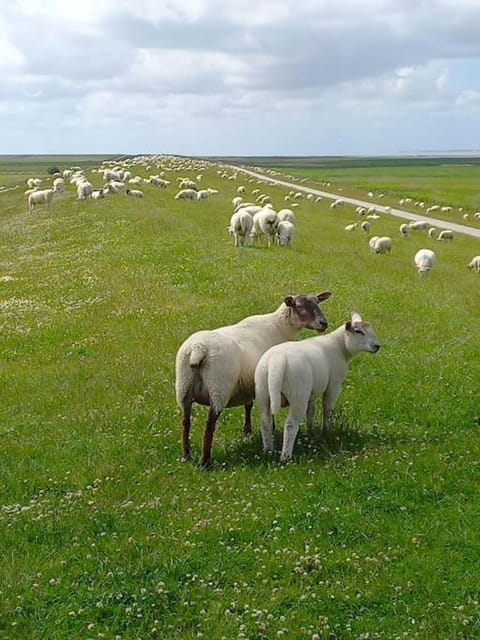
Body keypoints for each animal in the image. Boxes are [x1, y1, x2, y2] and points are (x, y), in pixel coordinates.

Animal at [174, 292, 332, 468]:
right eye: (299, 306)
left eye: (318, 302)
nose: (323, 323)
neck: (280, 327)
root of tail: (198, 349)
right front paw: (271, 427)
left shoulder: (248, 383)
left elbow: (248, 405)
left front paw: (247, 430)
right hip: (218, 388)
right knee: (209, 426)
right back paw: (205, 462)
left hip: (183, 387)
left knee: (185, 423)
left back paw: (186, 456)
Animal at [253, 312, 380, 462]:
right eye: (358, 331)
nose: (377, 346)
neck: (340, 347)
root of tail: (276, 361)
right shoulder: (334, 385)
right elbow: (327, 409)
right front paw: (326, 432)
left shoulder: (311, 393)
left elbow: (311, 412)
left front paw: (311, 433)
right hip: (298, 394)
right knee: (290, 424)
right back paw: (286, 457)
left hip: (262, 392)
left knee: (265, 421)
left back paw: (268, 450)